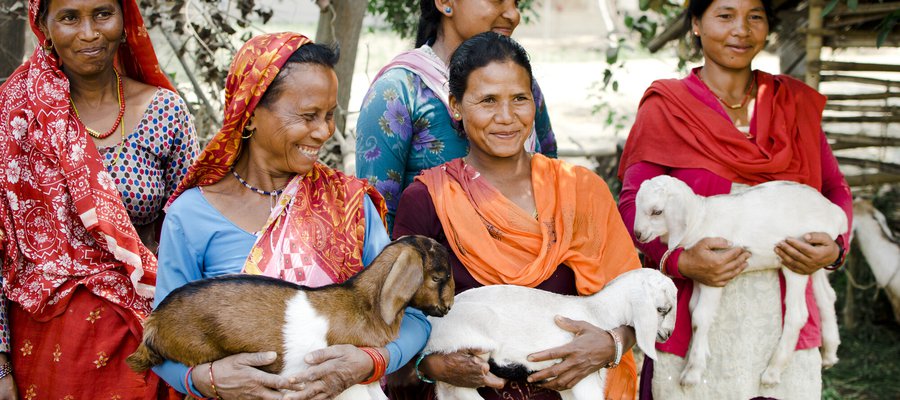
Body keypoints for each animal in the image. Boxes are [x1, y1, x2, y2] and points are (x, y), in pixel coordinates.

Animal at [632, 176, 844, 388]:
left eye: (657, 211)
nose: (638, 234)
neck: (700, 219)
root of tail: (835, 213)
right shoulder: (700, 274)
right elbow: (693, 311)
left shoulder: (714, 272)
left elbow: (700, 317)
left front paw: (692, 372)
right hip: (815, 259)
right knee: (827, 296)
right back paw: (830, 353)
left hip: (796, 258)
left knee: (798, 314)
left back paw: (772, 372)